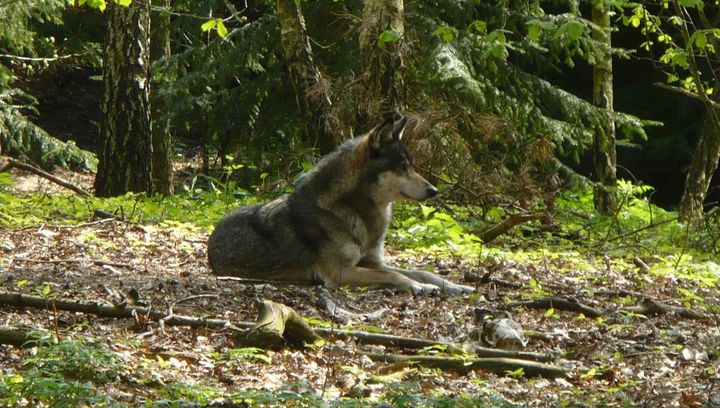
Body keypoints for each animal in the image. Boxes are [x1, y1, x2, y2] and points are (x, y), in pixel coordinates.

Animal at [208, 116, 476, 294]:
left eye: (411, 165)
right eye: (403, 166)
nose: (434, 190)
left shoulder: (373, 262)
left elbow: (421, 271)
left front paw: (455, 286)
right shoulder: (339, 272)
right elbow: (393, 274)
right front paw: (420, 287)